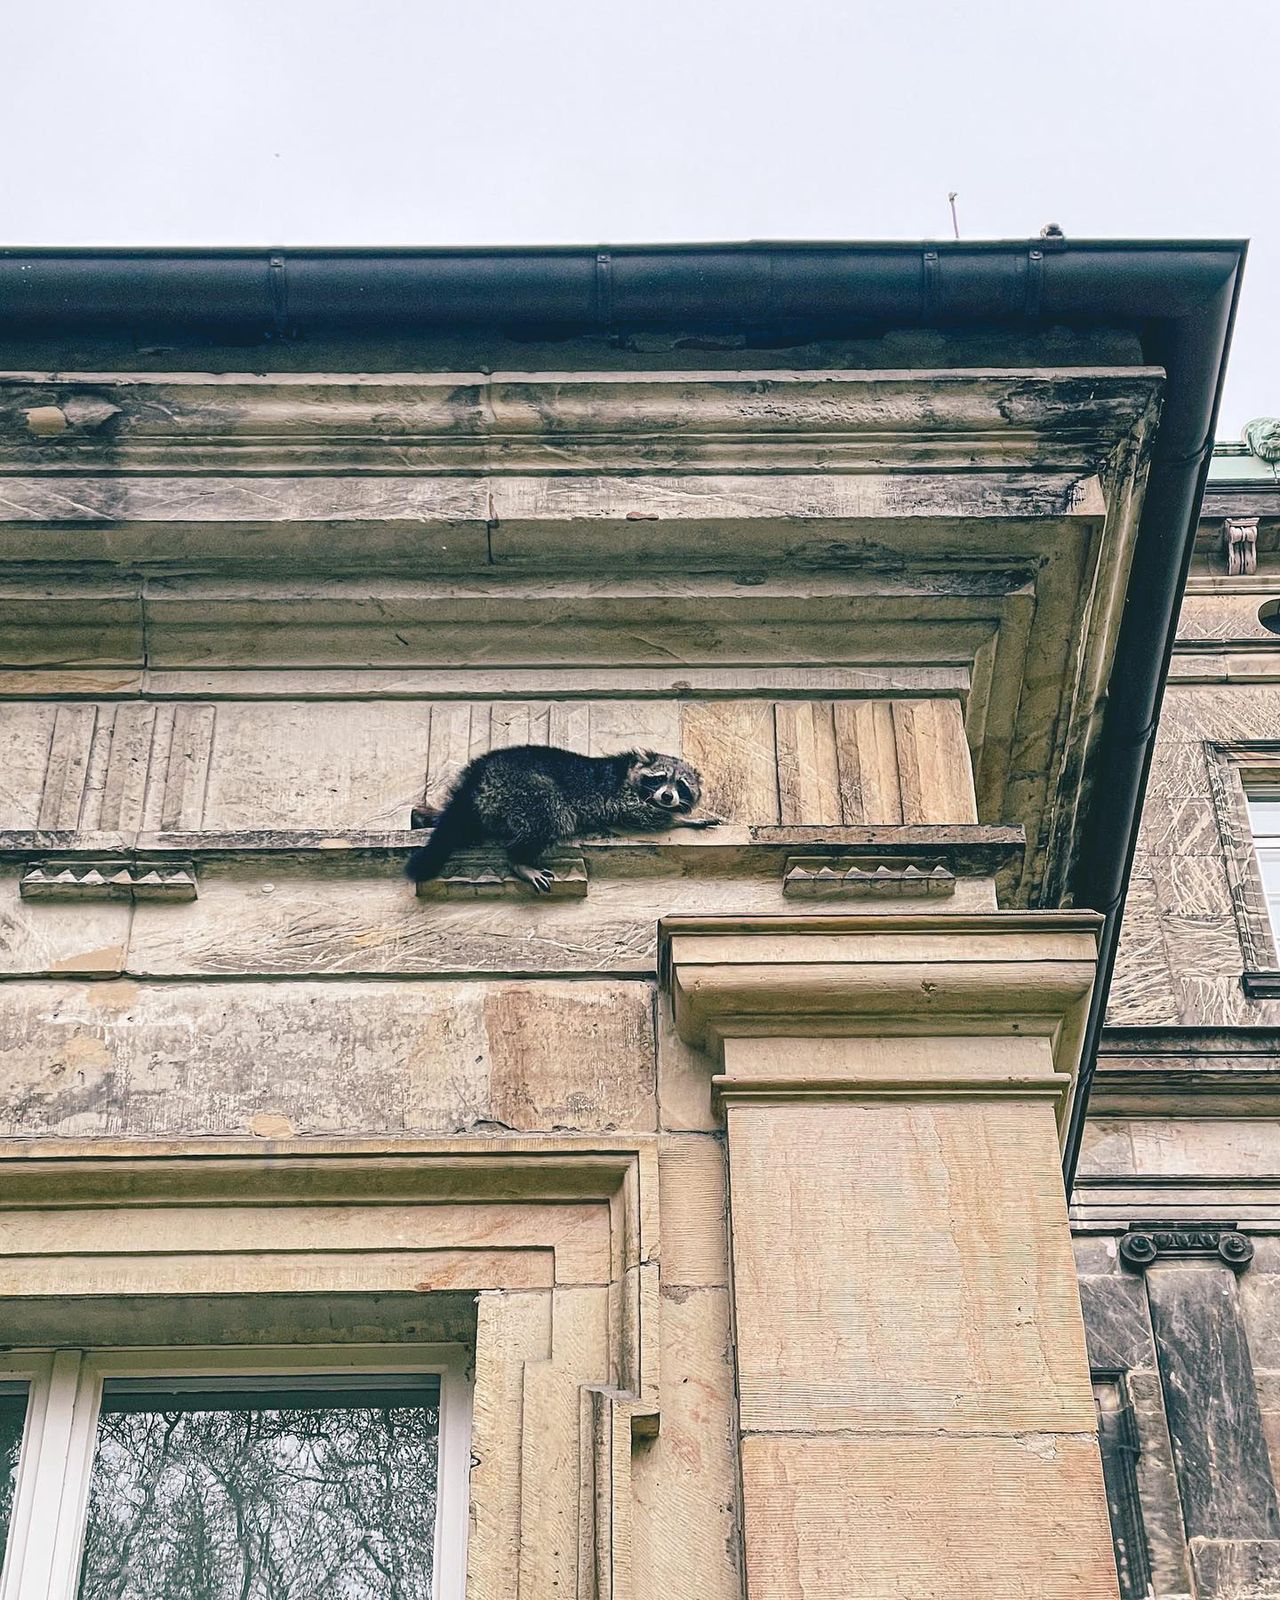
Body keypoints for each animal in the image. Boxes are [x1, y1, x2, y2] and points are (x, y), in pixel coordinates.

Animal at [403, 745, 713, 896]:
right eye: (660, 779)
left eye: (681, 785)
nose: (668, 797)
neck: (629, 770)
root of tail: (478, 775)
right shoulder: (617, 795)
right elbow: (639, 814)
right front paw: (681, 820)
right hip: (522, 787)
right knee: (551, 814)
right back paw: (520, 859)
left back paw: (425, 816)